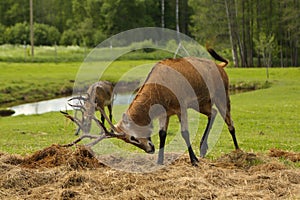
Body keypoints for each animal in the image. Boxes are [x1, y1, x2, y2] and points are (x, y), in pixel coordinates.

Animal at [62, 47, 239, 166]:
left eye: (132, 138)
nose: (149, 149)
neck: (159, 95)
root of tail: (221, 66)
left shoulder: (181, 106)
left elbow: (185, 133)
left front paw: (193, 160)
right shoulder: (166, 112)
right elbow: (162, 134)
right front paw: (159, 161)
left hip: (222, 94)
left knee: (229, 122)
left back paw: (237, 151)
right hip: (201, 103)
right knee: (213, 113)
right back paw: (203, 148)